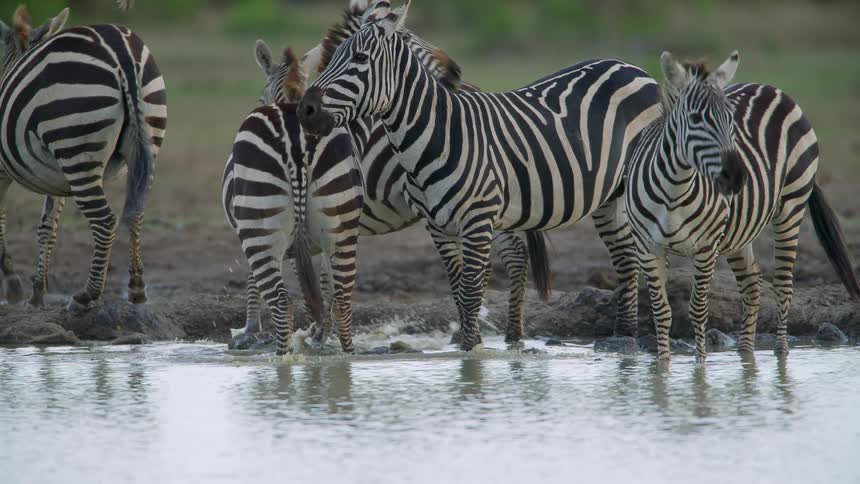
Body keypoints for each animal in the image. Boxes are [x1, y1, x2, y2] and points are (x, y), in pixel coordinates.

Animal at [0, 6, 167, 312]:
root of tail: (123, 54)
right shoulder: (54, 177)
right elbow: (47, 227)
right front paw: (37, 293)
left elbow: (2, 222)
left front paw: (13, 284)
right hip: (144, 141)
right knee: (136, 213)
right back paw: (136, 289)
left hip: (76, 150)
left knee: (104, 221)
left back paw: (87, 294)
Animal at [299, 0, 662, 351]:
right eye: (335, 57)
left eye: (359, 58)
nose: (305, 110)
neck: (436, 136)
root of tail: (629, 66)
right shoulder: (437, 227)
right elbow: (457, 292)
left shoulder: (476, 220)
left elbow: (471, 293)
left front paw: (471, 355)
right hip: (607, 196)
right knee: (624, 255)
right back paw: (619, 336)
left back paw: (624, 339)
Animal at [625, 51, 860, 362]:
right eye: (696, 118)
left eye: (730, 120)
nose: (736, 176)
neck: (674, 189)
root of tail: (771, 88)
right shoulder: (648, 247)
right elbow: (661, 313)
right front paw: (661, 368)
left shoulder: (706, 247)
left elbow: (697, 310)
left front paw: (700, 368)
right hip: (739, 230)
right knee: (752, 286)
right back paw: (745, 354)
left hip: (791, 206)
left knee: (783, 286)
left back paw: (780, 353)